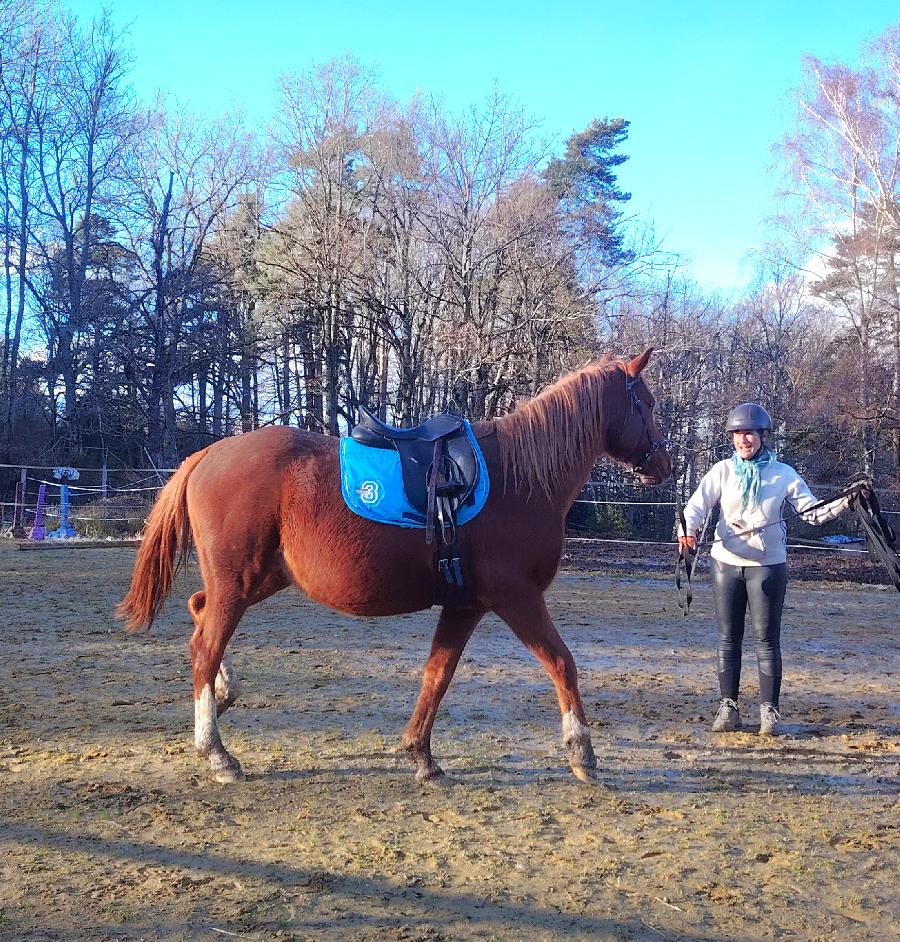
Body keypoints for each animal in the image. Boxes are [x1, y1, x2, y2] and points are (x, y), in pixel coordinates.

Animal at [118, 349, 672, 785]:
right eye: (645, 403)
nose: (664, 466)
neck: (523, 476)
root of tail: (206, 455)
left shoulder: (465, 604)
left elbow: (437, 674)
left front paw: (420, 755)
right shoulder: (517, 597)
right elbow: (562, 663)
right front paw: (582, 754)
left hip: (259, 579)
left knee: (198, 613)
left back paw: (224, 695)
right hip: (240, 582)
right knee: (205, 648)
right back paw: (217, 754)